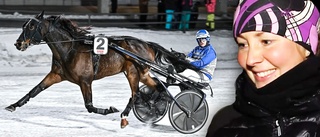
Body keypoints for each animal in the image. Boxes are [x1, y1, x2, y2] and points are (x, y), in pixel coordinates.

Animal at [6, 11, 194, 128]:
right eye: (23, 25)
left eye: (31, 27)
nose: (18, 44)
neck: (70, 49)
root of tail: (147, 43)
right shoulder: (56, 75)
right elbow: (34, 90)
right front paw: (13, 105)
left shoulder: (85, 81)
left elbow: (89, 106)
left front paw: (110, 109)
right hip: (141, 73)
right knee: (157, 87)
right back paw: (154, 103)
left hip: (134, 72)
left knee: (136, 94)